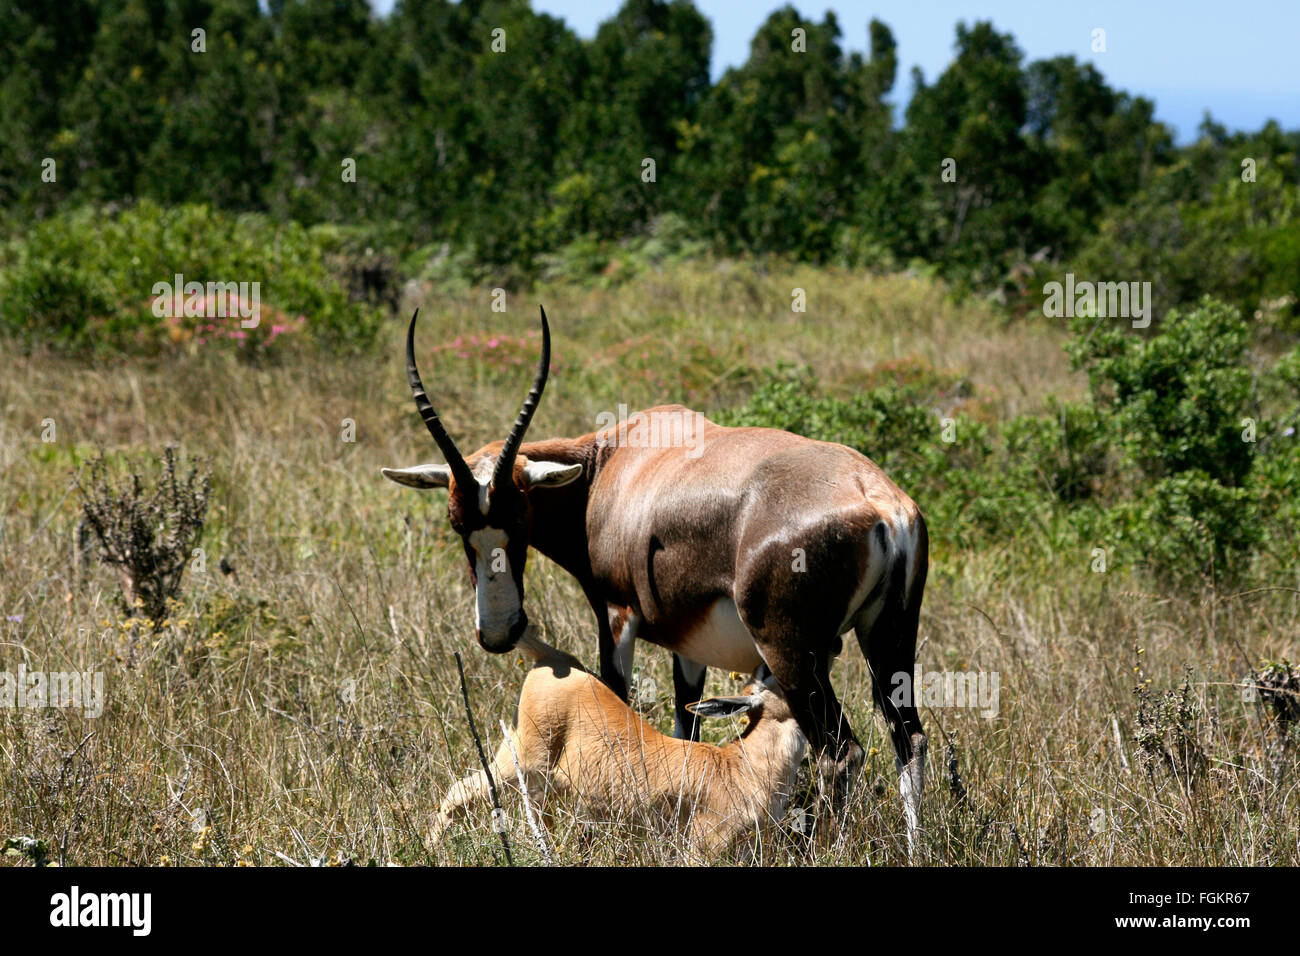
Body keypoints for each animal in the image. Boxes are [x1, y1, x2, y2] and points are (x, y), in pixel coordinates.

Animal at [431, 632, 806, 863]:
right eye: (769, 677)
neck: (743, 766)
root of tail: (552, 657)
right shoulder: (703, 845)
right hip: (521, 763)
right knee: (459, 791)